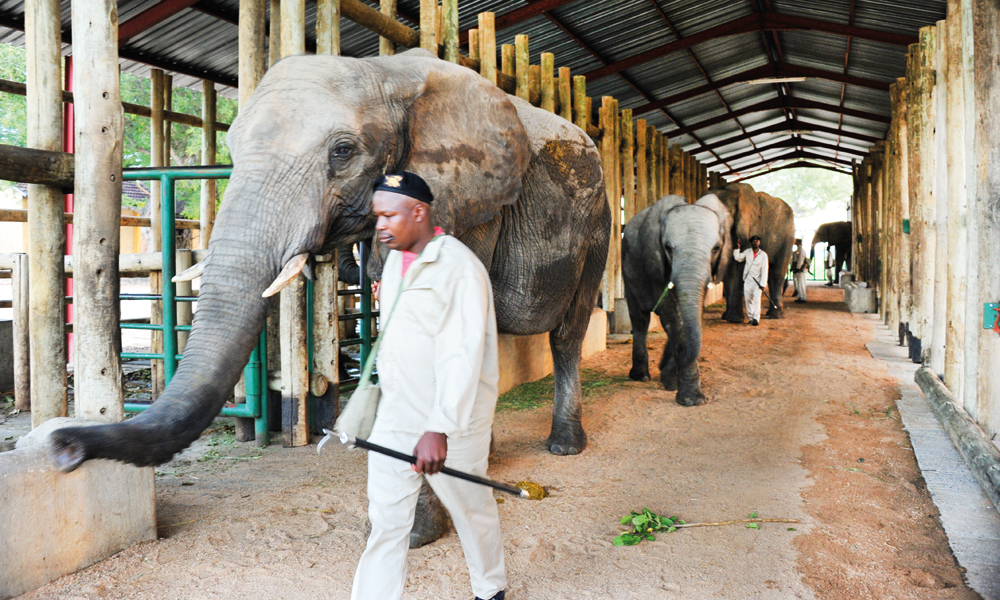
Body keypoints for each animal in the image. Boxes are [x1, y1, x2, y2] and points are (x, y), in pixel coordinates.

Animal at [50, 49, 608, 476]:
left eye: (343, 152)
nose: (64, 447)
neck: (384, 71)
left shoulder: (467, 196)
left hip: (598, 222)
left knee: (568, 332)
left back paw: (564, 445)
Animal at [620, 195, 732, 406]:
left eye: (716, 249)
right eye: (668, 248)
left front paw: (670, 381)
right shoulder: (654, 261)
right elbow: (673, 316)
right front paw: (690, 399)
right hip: (628, 271)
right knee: (640, 319)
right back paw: (640, 376)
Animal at [712, 183, 796, 324]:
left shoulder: (750, 228)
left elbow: (738, 268)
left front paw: (734, 319)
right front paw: (726, 317)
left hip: (788, 237)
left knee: (777, 273)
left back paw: (776, 316)